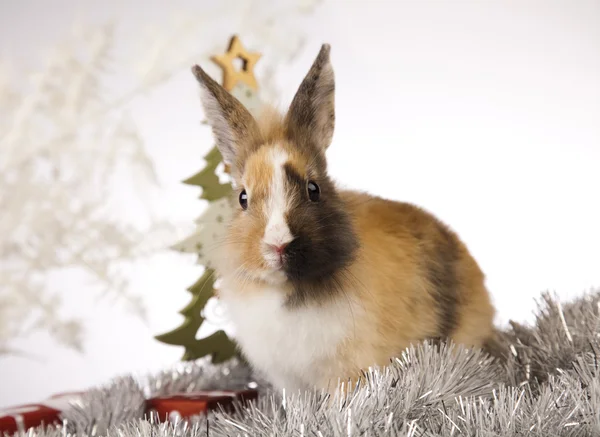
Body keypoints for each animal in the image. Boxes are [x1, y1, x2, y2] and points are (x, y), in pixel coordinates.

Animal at [190, 44, 494, 396]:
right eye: (242, 198)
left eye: (314, 189)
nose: (278, 245)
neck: (289, 290)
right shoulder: (288, 381)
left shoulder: (347, 372)